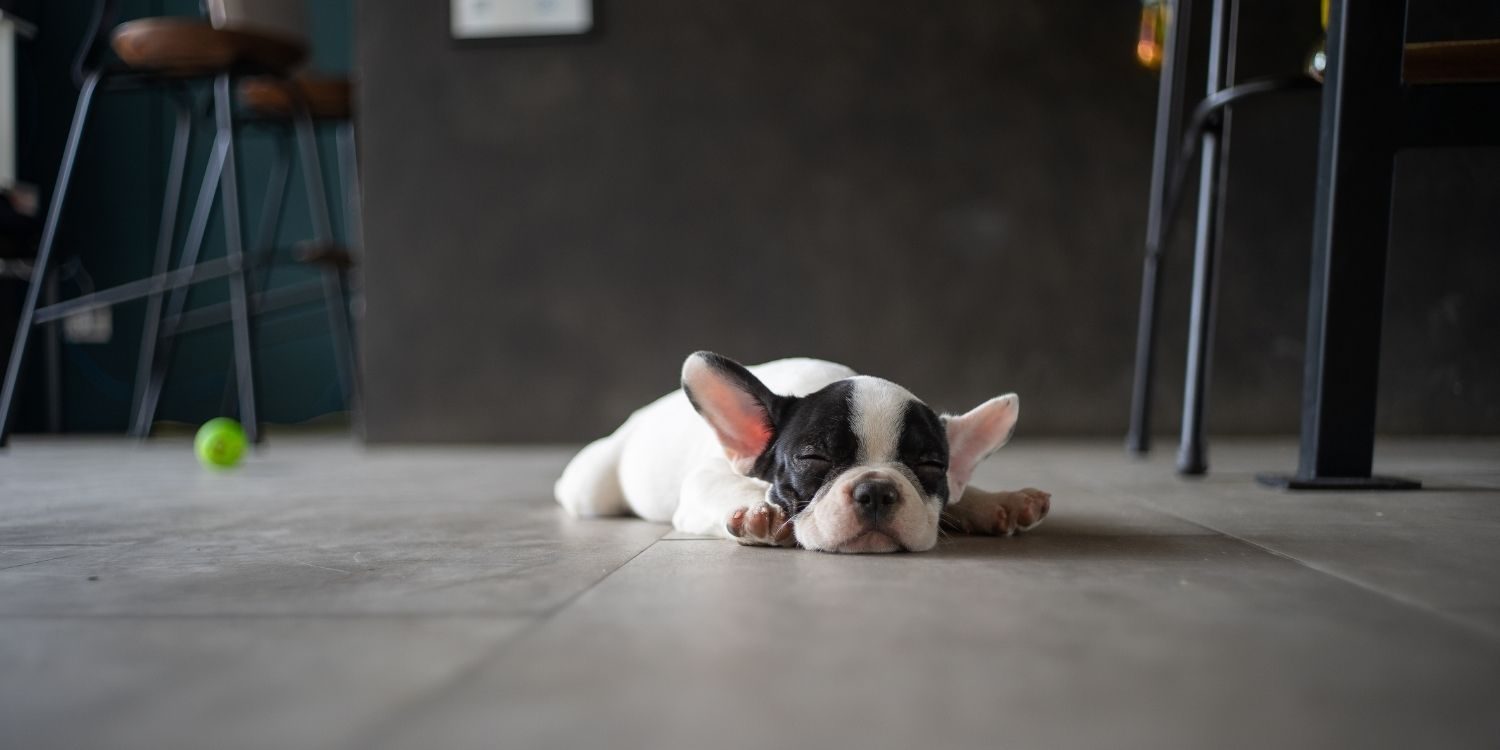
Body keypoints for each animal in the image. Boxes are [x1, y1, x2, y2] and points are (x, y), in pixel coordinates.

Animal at [555, 351, 1056, 552]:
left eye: (931, 465)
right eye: (813, 459)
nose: (876, 491)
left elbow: (958, 495)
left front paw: (998, 502)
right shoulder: (705, 478)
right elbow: (723, 487)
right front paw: (754, 512)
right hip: (593, 487)